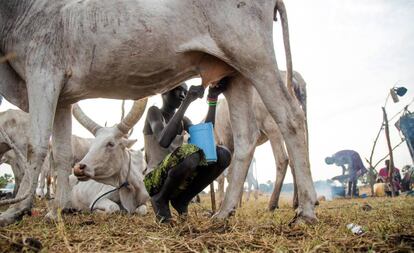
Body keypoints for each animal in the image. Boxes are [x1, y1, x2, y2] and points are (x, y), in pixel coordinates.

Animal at [215, 70, 306, 211]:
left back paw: (272, 204)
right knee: (297, 160)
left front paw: (222, 204)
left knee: (283, 159)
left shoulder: (225, 141)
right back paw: (296, 202)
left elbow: (225, 175)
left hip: (272, 125)